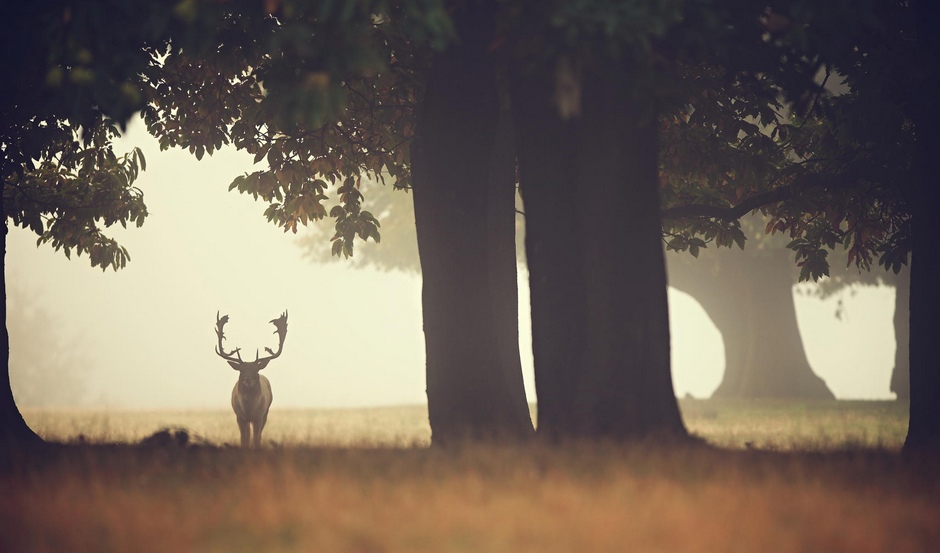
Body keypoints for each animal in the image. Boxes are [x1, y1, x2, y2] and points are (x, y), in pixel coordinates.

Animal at [215, 308, 288, 446]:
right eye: (241, 370)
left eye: (256, 370)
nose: (248, 379)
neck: (248, 409)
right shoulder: (239, 416)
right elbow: (244, 439)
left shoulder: (259, 416)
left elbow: (256, 438)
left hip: (266, 412)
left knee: (257, 435)